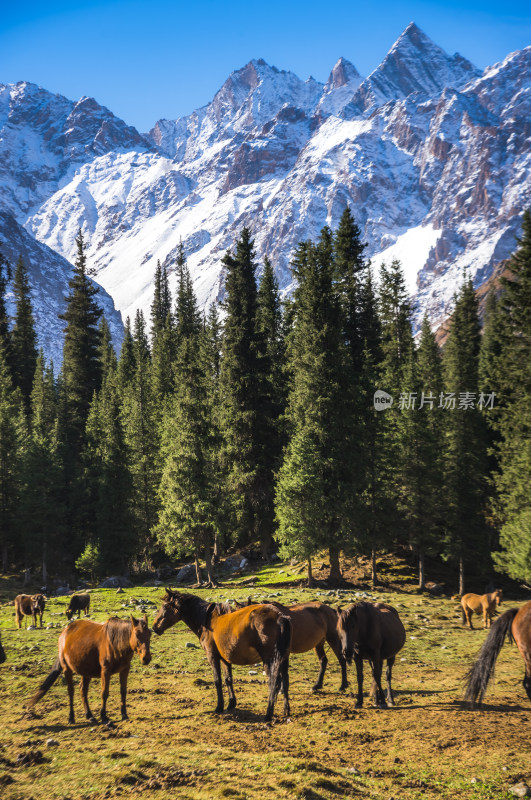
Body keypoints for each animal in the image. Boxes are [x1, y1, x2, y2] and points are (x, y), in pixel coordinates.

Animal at [154, 588, 294, 724]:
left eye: (165, 606)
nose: (154, 627)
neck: (207, 621)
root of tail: (280, 617)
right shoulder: (225, 659)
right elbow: (228, 679)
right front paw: (231, 703)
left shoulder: (213, 657)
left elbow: (217, 680)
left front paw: (219, 707)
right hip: (283, 659)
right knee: (285, 682)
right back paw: (286, 710)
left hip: (269, 660)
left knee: (274, 683)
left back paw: (268, 714)